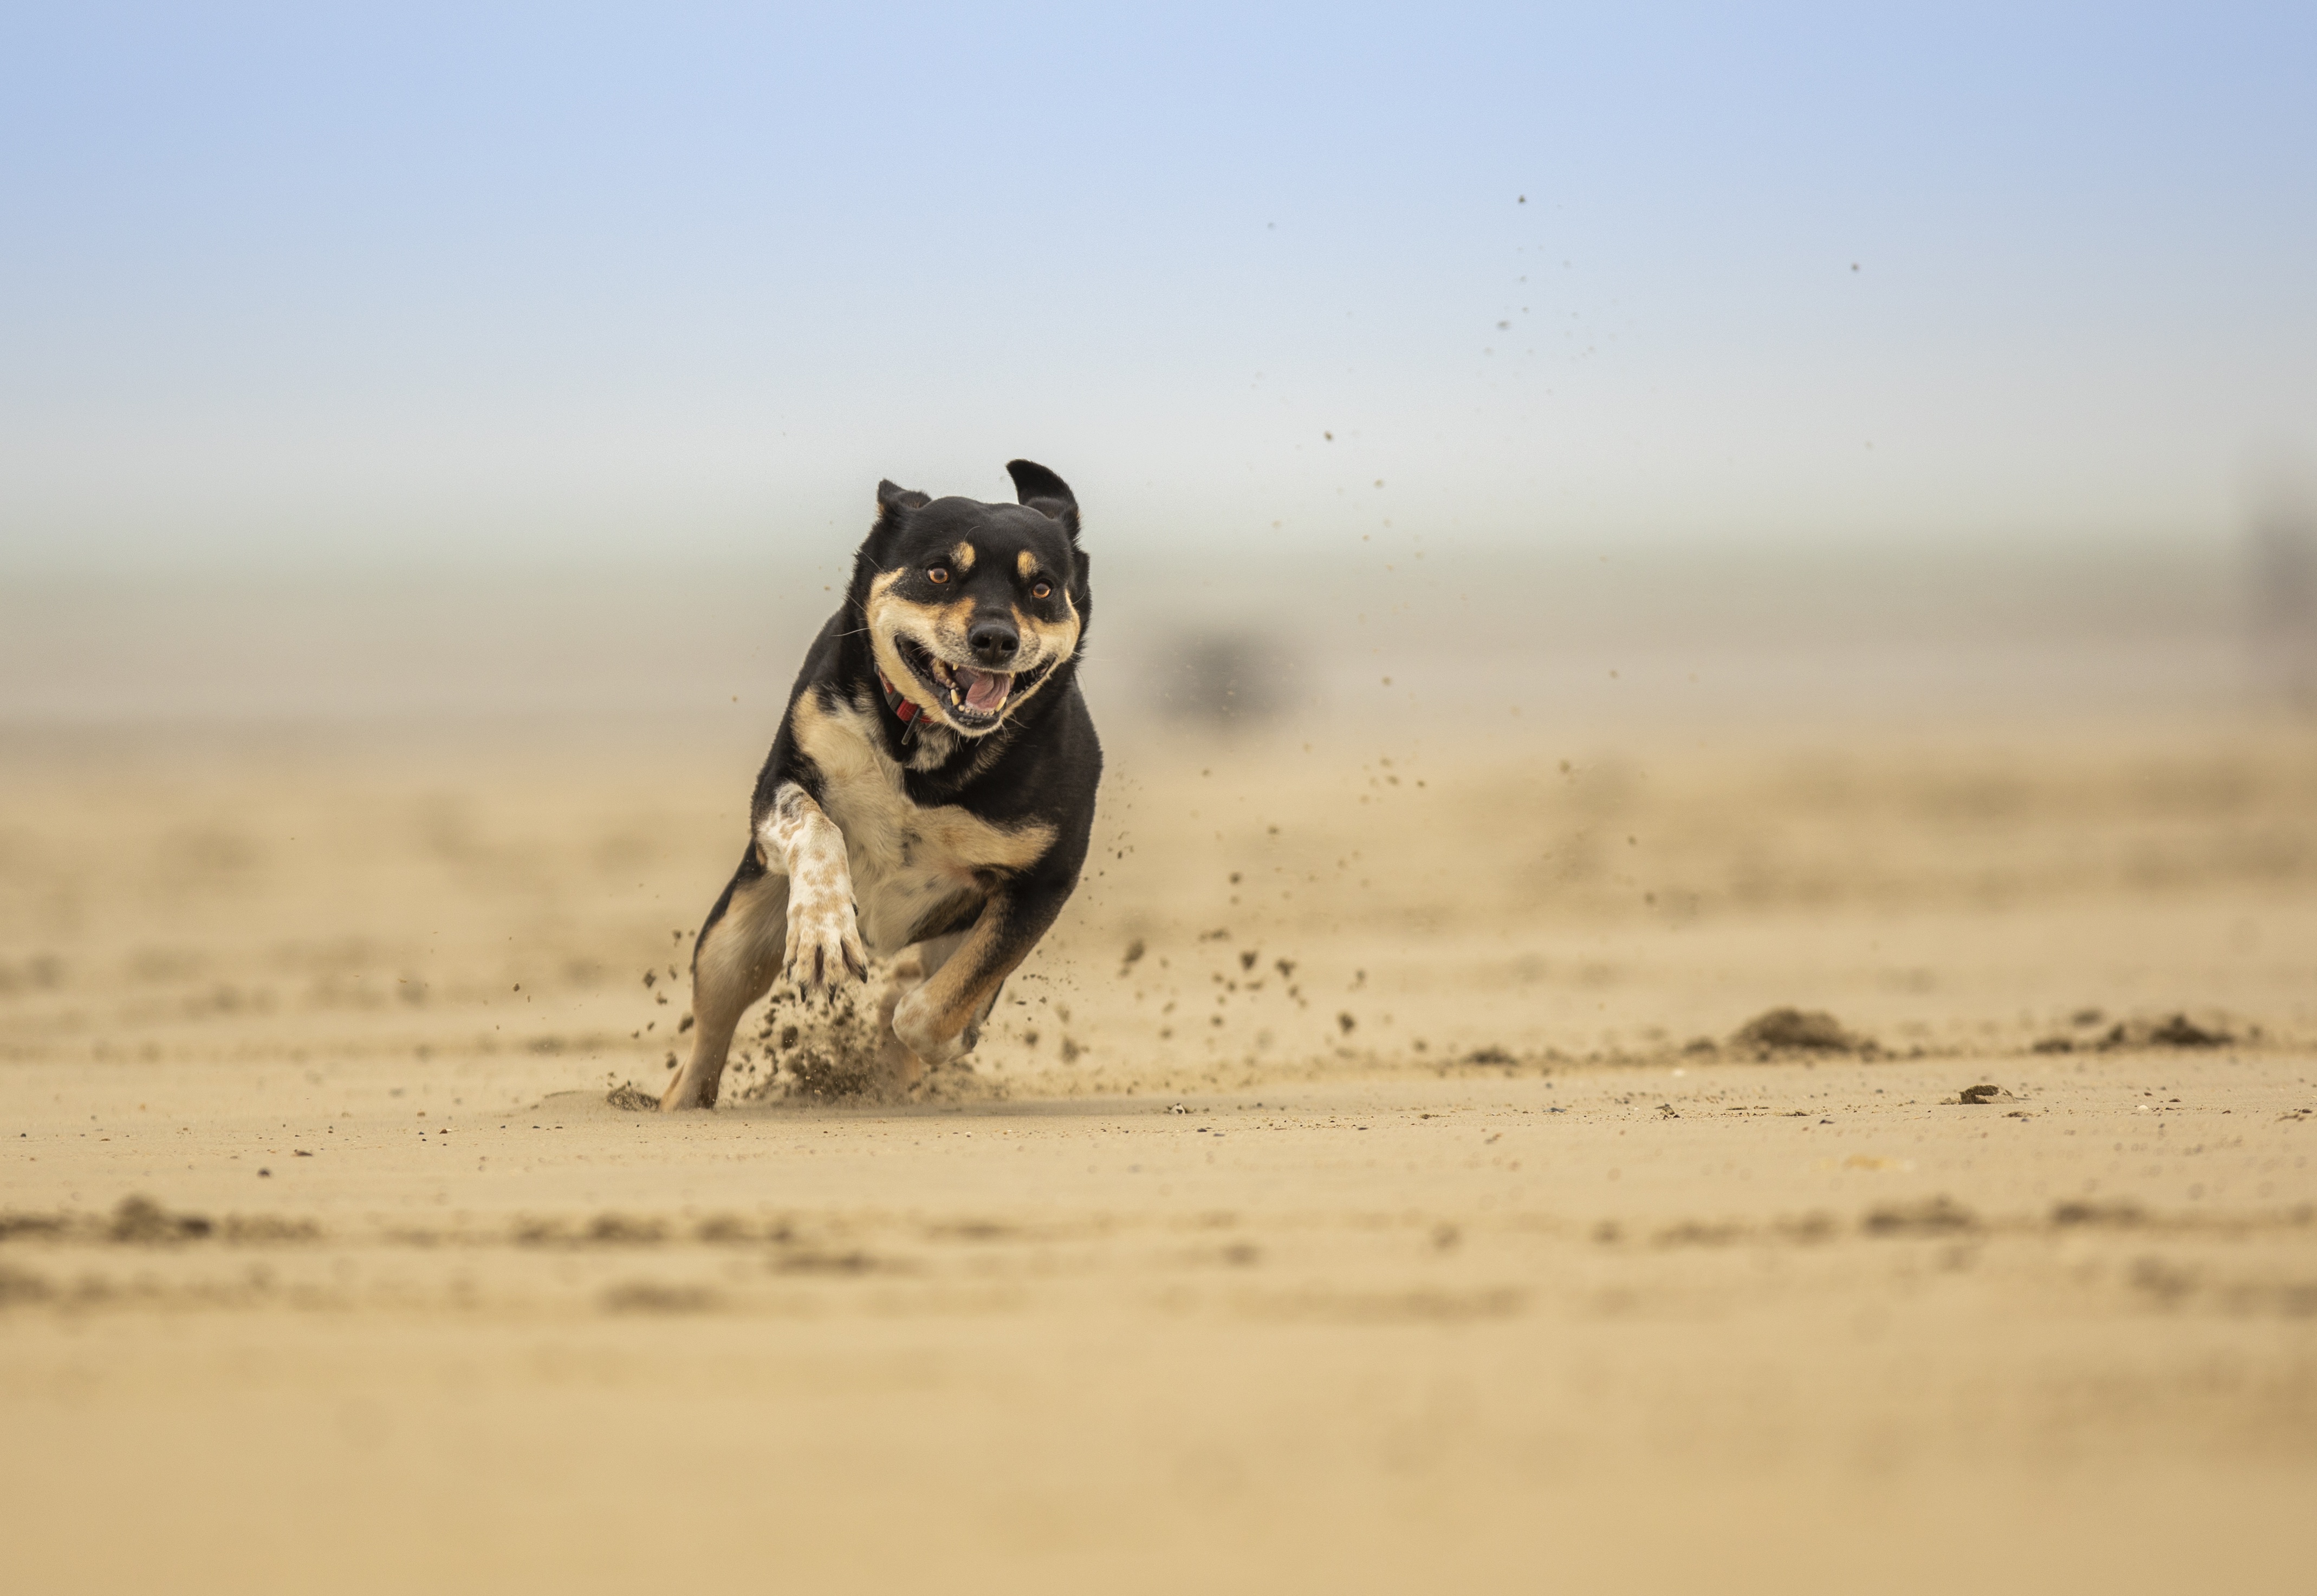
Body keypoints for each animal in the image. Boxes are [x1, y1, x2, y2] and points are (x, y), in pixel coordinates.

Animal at [663, 458, 1102, 1107]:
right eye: (939, 572)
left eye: (1042, 588)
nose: (996, 639)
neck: (928, 748)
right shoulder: (781, 782)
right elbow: (818, 830)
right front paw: (823, 936)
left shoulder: (1042, 881)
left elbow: (932, 1011)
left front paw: (913, 1010)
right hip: (733, 938)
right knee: (708, 1031)